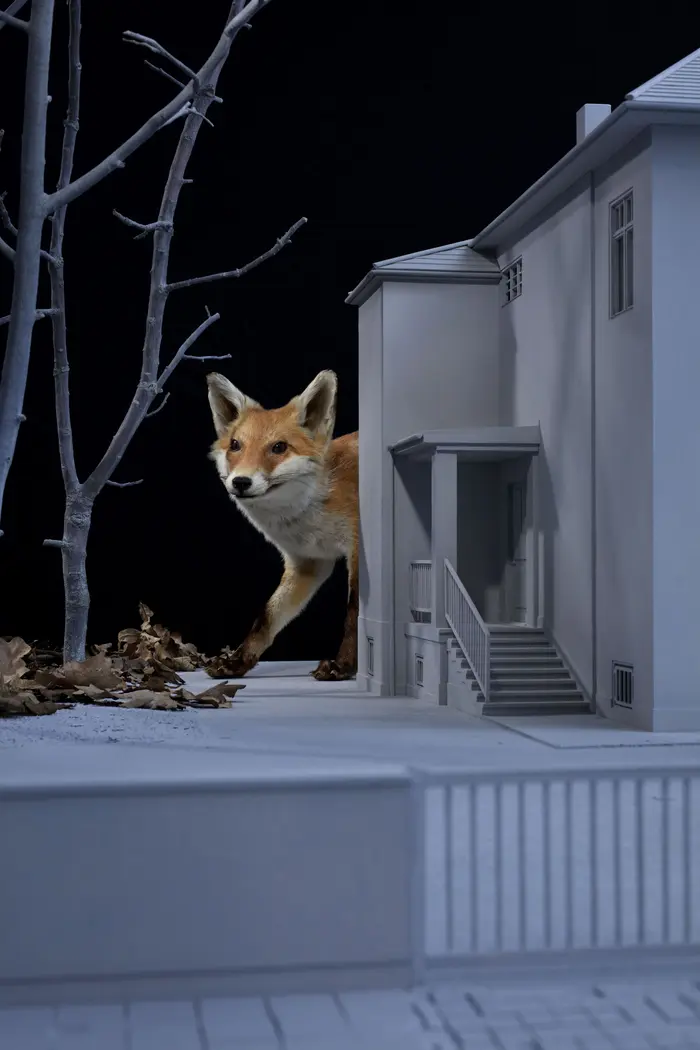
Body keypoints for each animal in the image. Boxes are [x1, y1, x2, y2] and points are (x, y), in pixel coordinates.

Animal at [206, 368, 359, 681]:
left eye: (279, 447)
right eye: (235, 445)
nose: (240, 482)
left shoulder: (359, 550)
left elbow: (354, 613)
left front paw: (344, 666)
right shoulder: (307, 564)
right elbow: (267, 618)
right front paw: (238, 661)